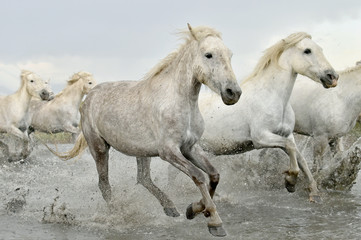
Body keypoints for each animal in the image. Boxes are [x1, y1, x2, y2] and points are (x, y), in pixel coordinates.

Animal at [49, 24, 240, 236]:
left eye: (230, 55)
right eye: (208, 55)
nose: (233, 93)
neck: (179, 102)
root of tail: (88, 97)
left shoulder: (190, 147)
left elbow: (214, 175)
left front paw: (194, 210)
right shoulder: (169, 152)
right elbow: (198, 176)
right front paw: (214, 221)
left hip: (141, 151)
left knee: (143, 178)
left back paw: (170, 207)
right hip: (99, 148)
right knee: (104, 184)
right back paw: (118, 215)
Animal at [198, 31, 336, 202]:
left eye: (320, 49)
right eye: (307, 51)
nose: (332, 77)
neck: (273, 97)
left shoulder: (287, 135)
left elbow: (301, 159)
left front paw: (314, 191)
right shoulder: (261, 138)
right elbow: (291, 150)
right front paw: (290, 181)